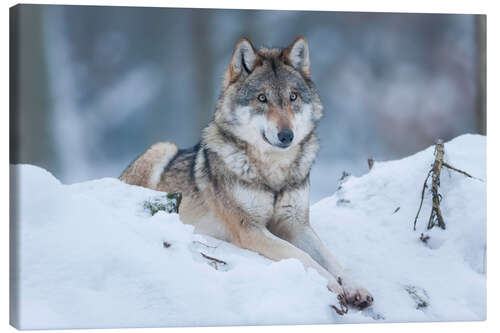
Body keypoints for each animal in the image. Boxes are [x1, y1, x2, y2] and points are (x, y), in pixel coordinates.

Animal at [119, 36, 374, 308]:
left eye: (293, 97)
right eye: (262, 98)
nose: (286, 135)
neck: (274, 174)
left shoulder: (296, 224)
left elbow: (330, 258)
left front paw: (355, 287)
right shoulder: (250, 229)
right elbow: (303, 257)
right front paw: (332, 284)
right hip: (163, 147)